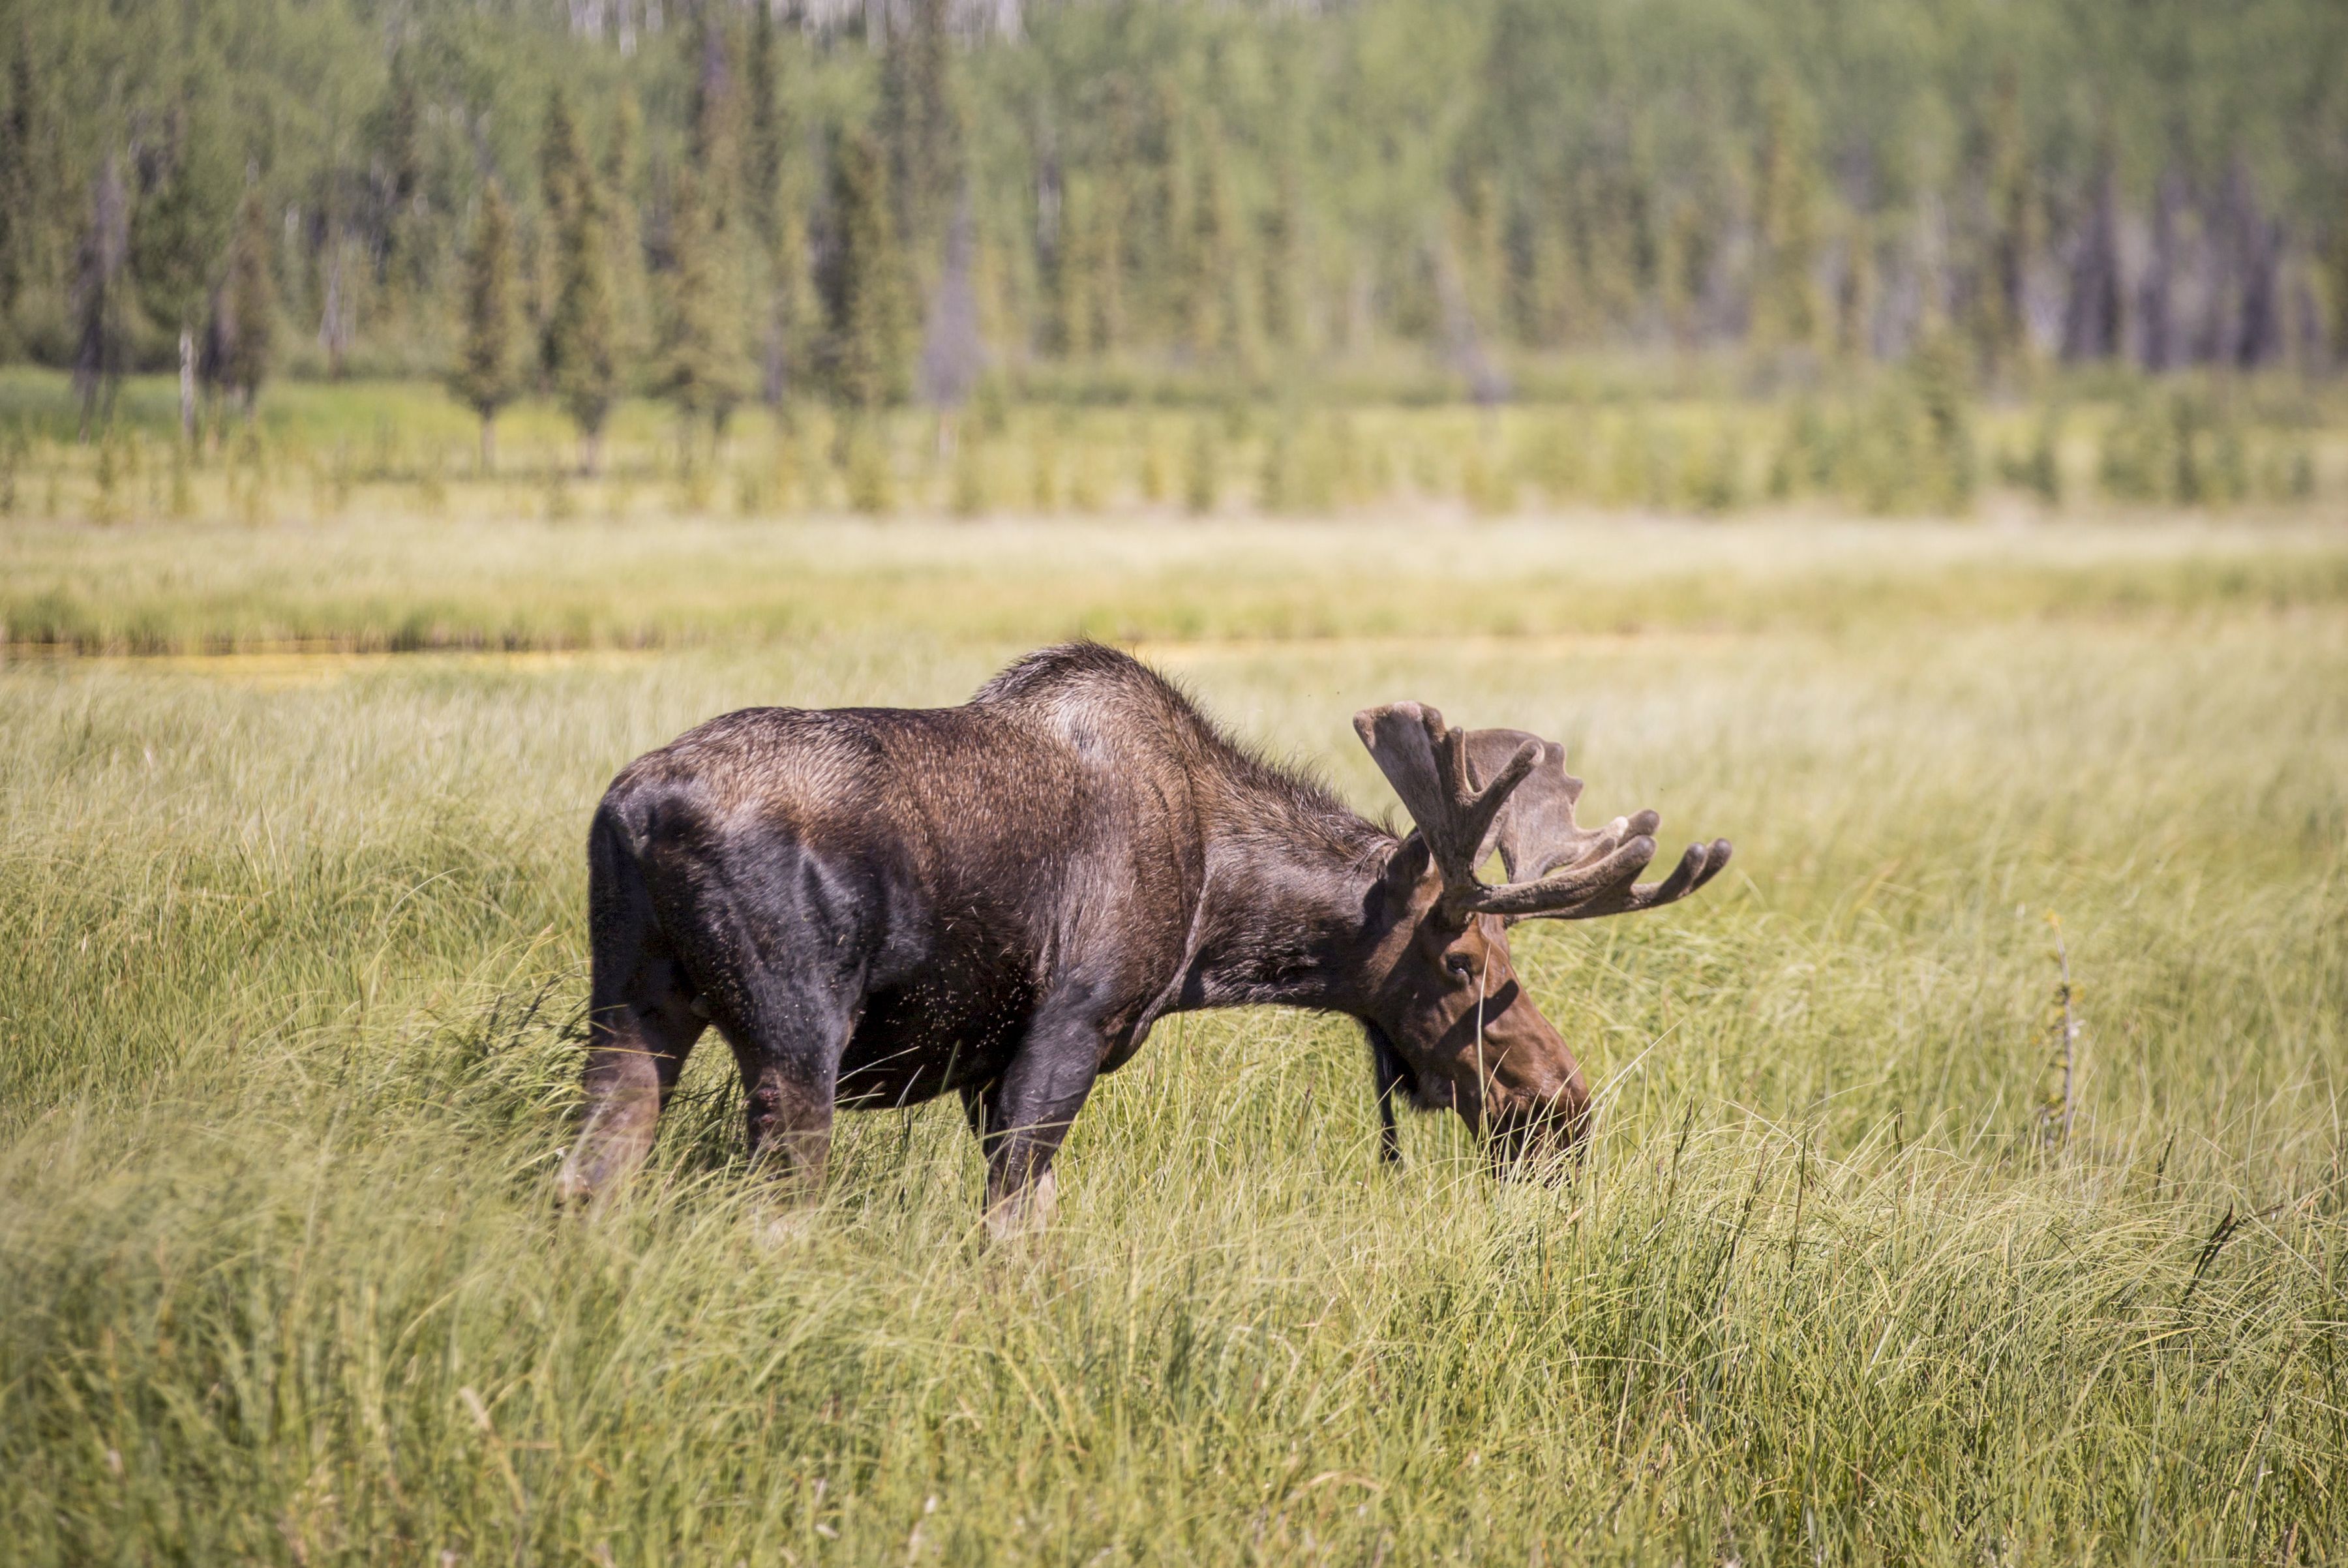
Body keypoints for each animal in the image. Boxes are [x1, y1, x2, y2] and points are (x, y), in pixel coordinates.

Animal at [554, 643, 1731, 1234]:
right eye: (1464, 960)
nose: (1563, 1105)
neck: (1218, 923)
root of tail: (632, 809)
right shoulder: (1068, 1026)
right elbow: (1011, 1239)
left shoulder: (991, 1068)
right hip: (794, 1039)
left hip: (630, 1006)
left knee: (589, 1177)